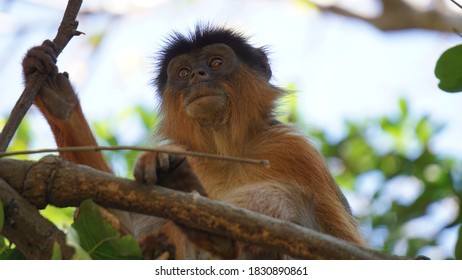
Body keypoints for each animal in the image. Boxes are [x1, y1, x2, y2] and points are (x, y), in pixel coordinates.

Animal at [22, 24, 364, 260]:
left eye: (215, 63)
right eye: (184, 72)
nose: (199, 74)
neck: (225, 151)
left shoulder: (295, 150)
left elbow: (346, 248)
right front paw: (58, 101)